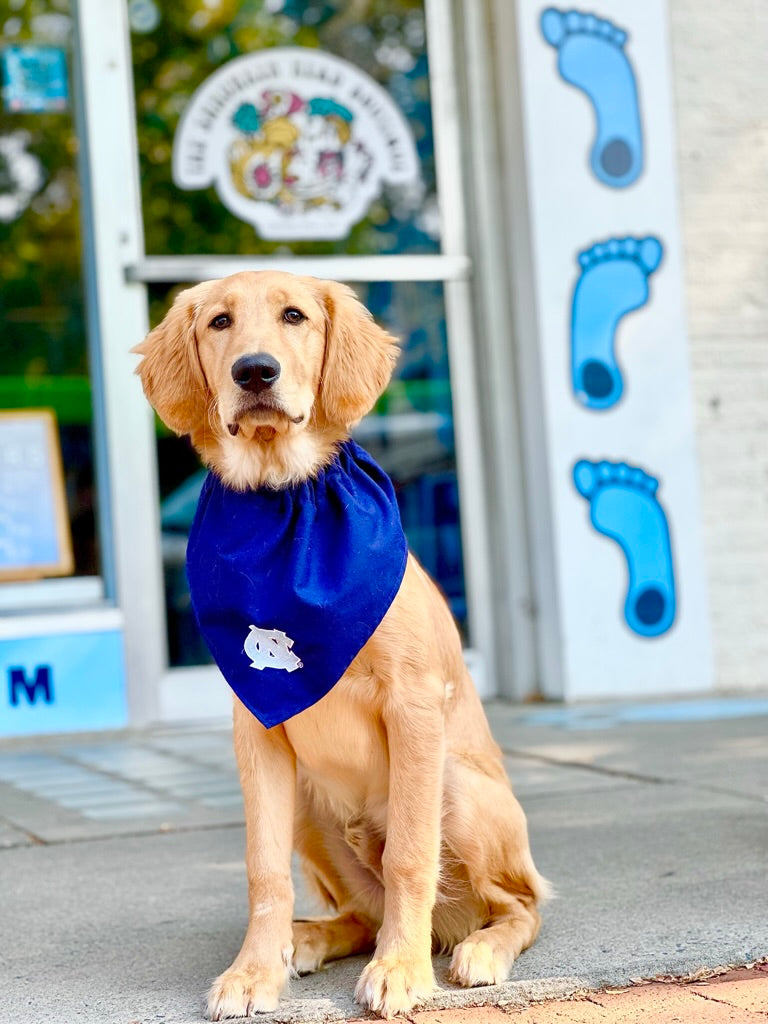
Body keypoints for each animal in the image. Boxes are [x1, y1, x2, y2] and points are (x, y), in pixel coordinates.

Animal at [135, 274, 548, 1024]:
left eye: (295, 316)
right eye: (219, 322)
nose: (255, 372)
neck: (284, 499)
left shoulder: (414, 707)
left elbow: (410, 855)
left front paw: (402, 969)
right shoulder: (256, 726)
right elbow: (262, 869)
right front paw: (252, 971)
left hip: (458, 786)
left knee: (520, 905)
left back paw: (476, 949)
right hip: (307, 806)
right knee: (360, 913)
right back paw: (308, 939)